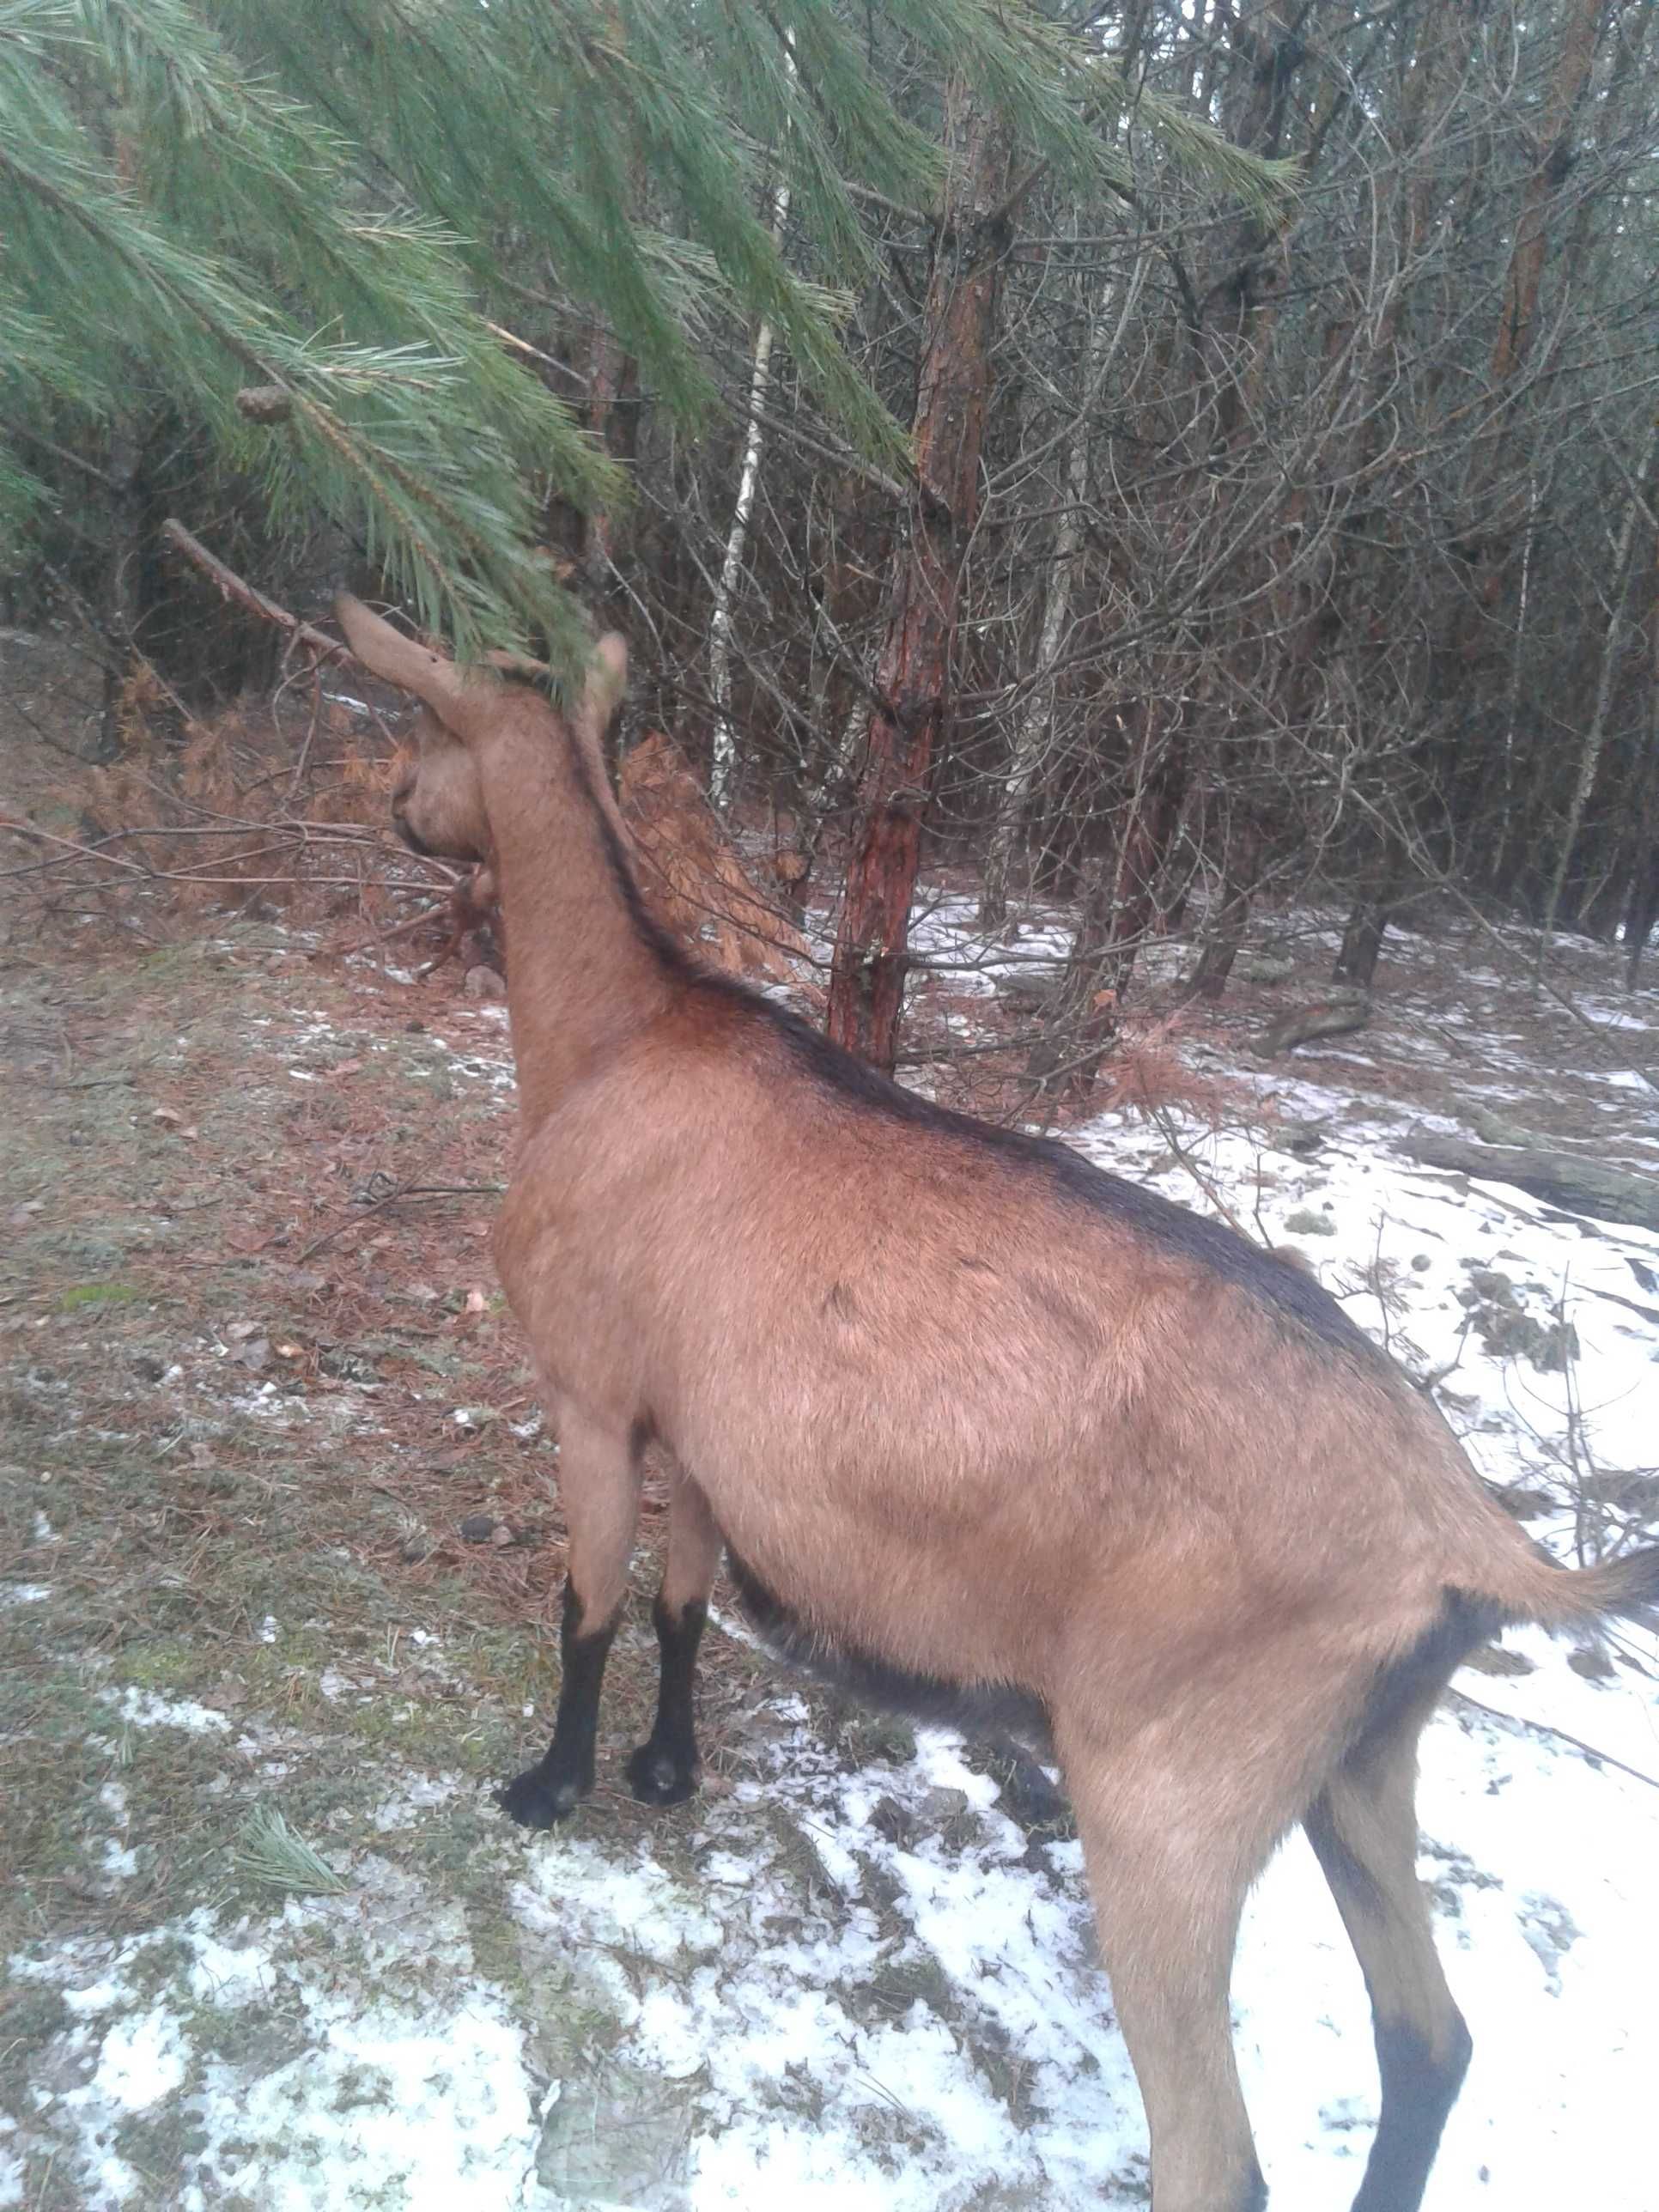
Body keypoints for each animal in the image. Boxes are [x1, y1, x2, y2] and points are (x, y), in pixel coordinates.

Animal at [340, 588, 1659, 2212]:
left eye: (425, 715)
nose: (393, 800)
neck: (606, 1042)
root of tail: (1470, 1542)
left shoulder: (590, 1386)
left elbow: (589, 1599)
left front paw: (550, 1786)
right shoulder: (709, 1431)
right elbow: (682, 1599)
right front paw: (664, 1771)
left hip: (1172, 1791)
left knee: (1217, 2154)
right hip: (1362, 1759)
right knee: (1431, 2040)